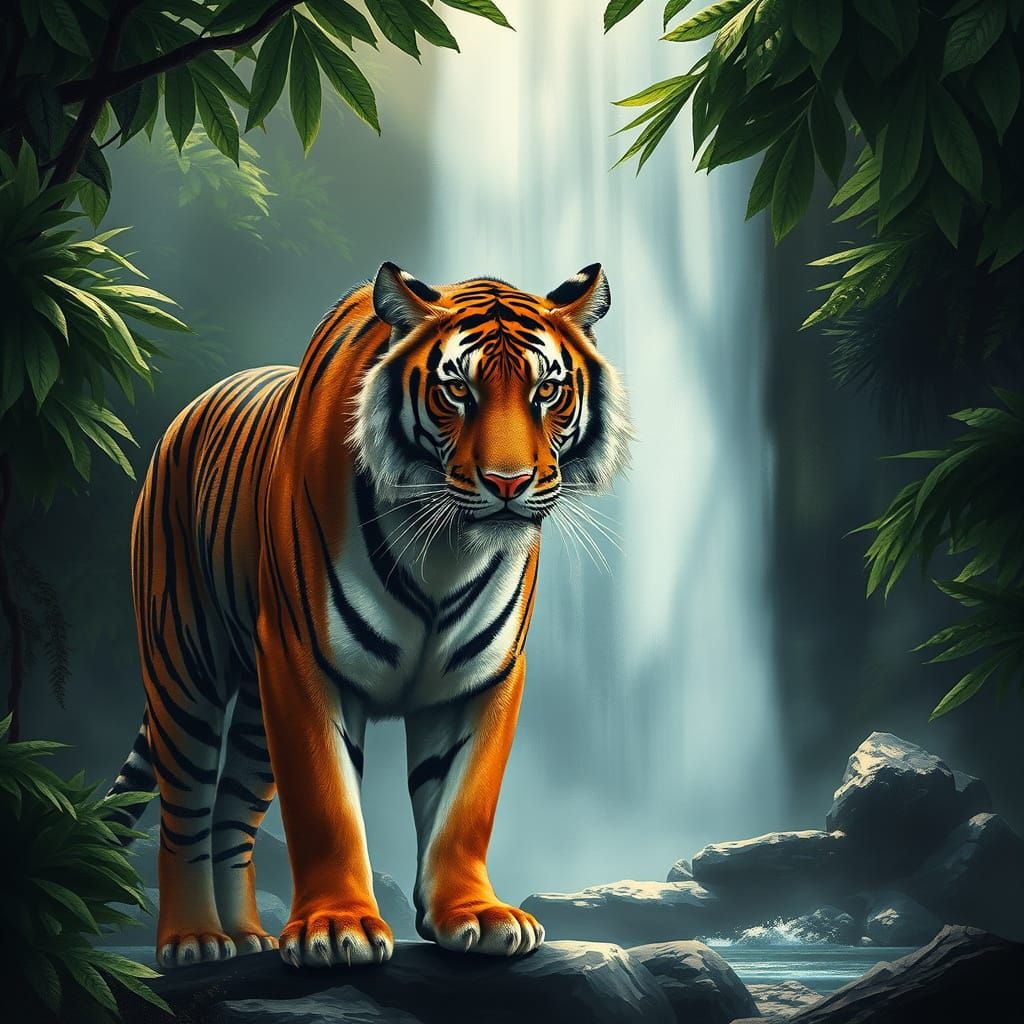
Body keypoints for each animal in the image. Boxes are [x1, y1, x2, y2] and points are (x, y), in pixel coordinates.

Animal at [105, 262, 632, 969]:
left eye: (547, 390)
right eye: (457, 390)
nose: (508, 483)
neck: (445, 550)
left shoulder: (483, 675)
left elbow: (465, 804)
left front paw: (476, 915)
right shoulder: (300, 661)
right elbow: (325, 804)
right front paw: (336, 928)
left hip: (253, 719)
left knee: (231, 815)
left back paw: (246, 937)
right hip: (185, 666)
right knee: (184, 809)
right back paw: (194, 939)